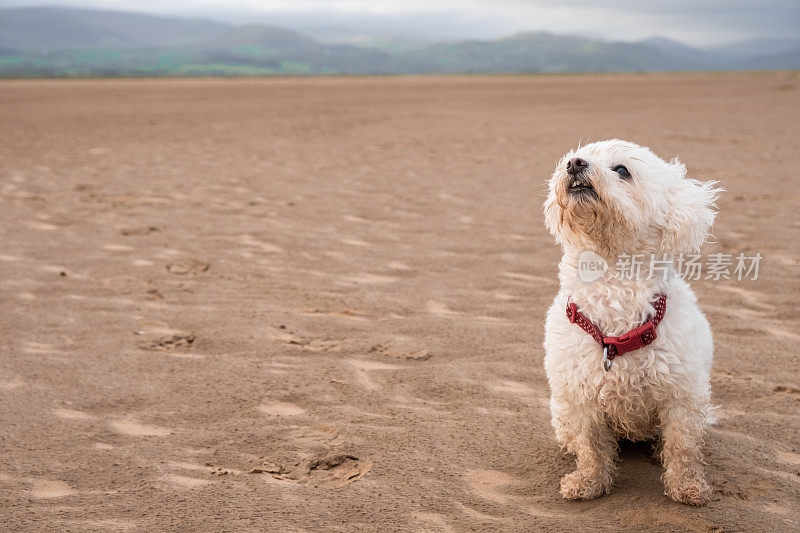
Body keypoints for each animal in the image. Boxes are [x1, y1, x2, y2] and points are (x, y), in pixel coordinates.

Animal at [544, 139, 720, 504]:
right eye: (574, 157)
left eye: (622, 170)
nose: (574, 163)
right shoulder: (580, 398)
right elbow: (591, 448)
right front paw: (589, 482)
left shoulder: (683, 396)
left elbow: (683, 447)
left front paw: (687, 487)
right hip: (561, 411)